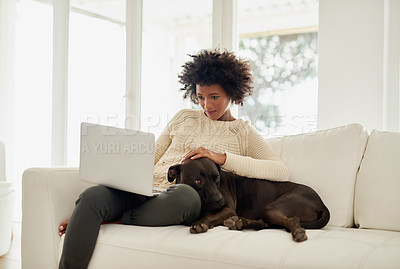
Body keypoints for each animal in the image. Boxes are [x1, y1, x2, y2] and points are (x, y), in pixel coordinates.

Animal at [167, 157, 330, 241]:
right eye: (198, 180)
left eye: (217, 178)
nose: (220, 200)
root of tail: (322, 204)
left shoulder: (228, 210)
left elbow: (211, 215)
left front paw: (200, 223)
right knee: (265, 223)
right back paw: (239, 223)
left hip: (272, 207)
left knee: (291, 220)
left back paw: (298, 233)